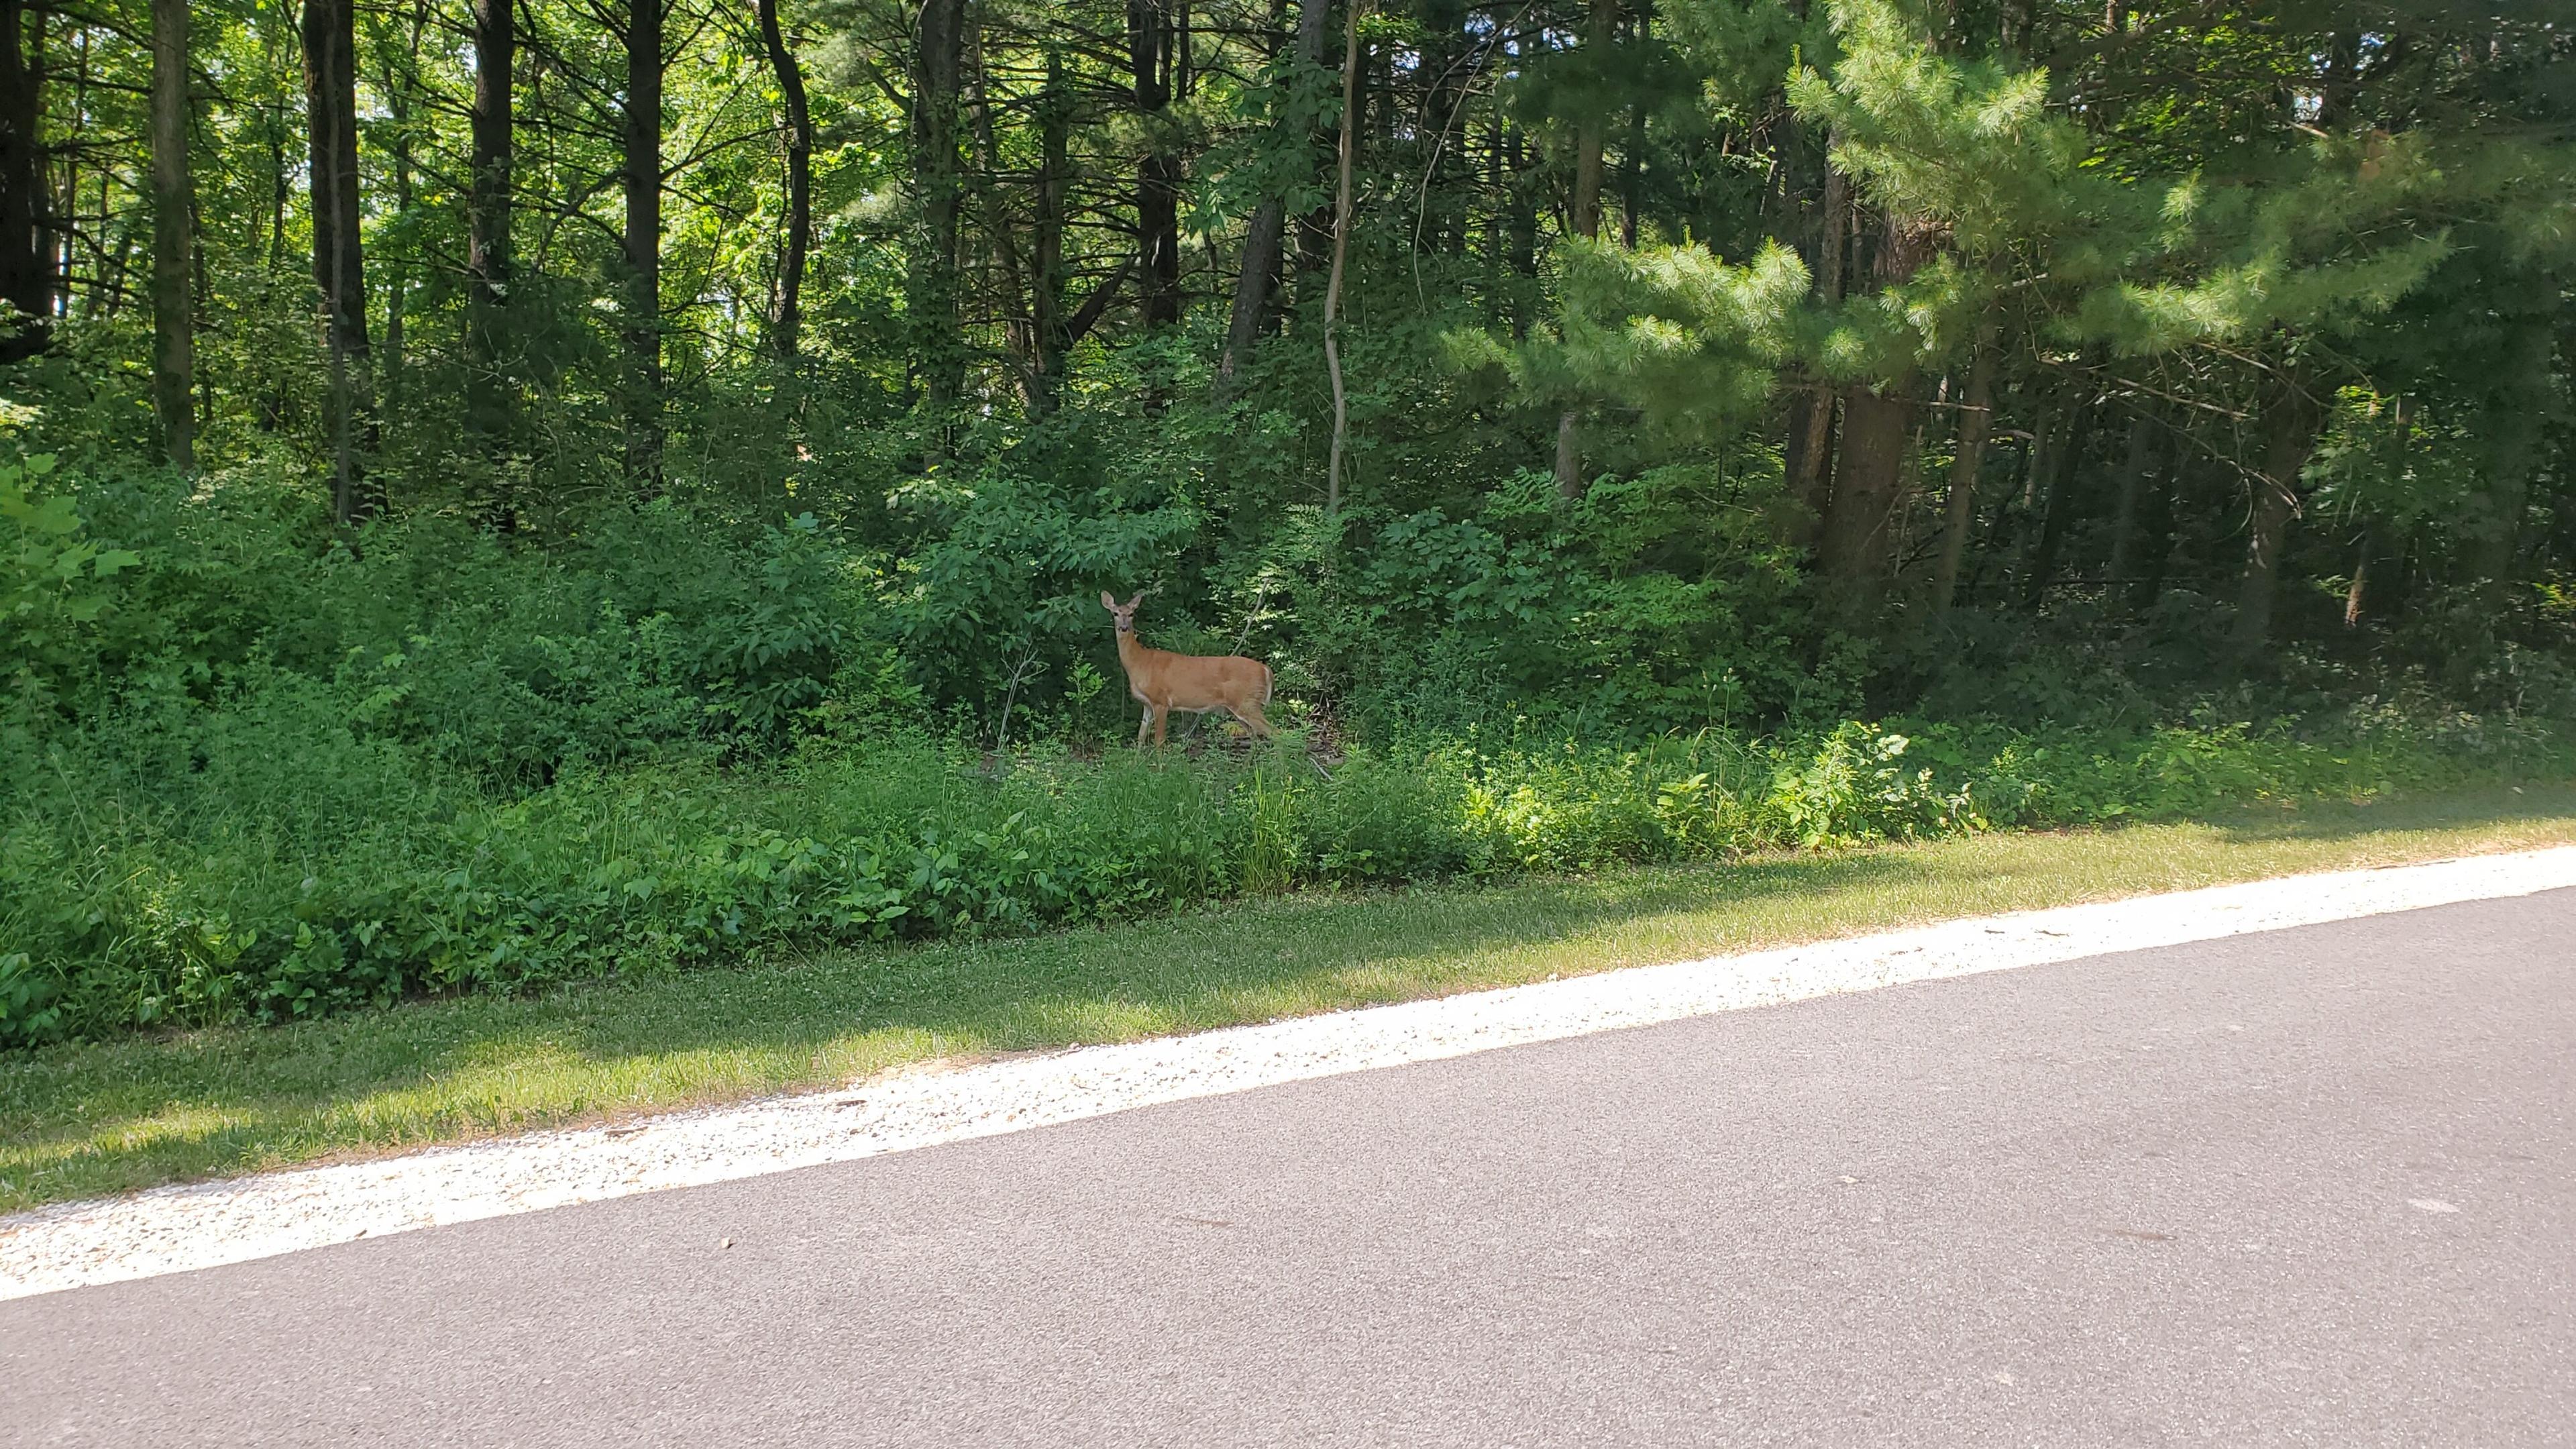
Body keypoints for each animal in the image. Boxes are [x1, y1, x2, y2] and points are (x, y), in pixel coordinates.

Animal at [1097, 588, 1277, 742]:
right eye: (1115, 613)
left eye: (1132, 614)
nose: (1124, 628)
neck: (1140, 663)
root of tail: (1266, 669)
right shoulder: (1147, 704)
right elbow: (1141, 737)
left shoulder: (1161, 701)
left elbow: (1159, 741)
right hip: (1239, 707)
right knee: (1255, 738)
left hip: (1248, 702)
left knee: (1275, 733)